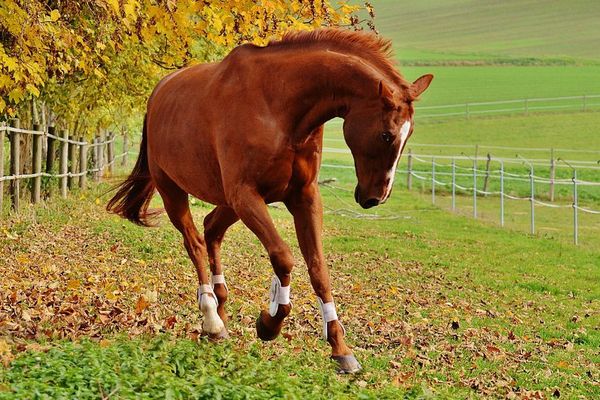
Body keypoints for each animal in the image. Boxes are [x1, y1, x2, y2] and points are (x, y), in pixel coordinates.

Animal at [108, 28, 432, 376]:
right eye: (387, 135)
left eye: (409, 134)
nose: (375, 197)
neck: (279, 107)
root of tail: (159, 93)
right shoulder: (247, 195)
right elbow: (284, 258)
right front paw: (269, 322)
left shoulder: (303, 198)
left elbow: (319, 270)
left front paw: (340, 348)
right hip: (174, 192)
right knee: (194, 243)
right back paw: (212, 320)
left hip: (228, 203)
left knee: (211, 230)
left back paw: (221, 311)